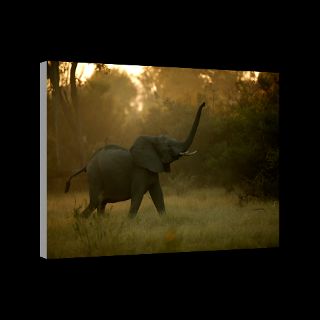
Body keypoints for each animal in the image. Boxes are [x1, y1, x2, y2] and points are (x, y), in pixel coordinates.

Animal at [65, 102, 206, 218]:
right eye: (169, 146)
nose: (204, 104)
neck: (151, 139)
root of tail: (87, 164)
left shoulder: (151, 169)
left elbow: (158, 195)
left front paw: (165, 219)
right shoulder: (139, 170)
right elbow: (137, 195)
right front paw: (129, 221)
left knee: (101, 204)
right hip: (95, 176)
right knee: (95, 202)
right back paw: (79, 219)